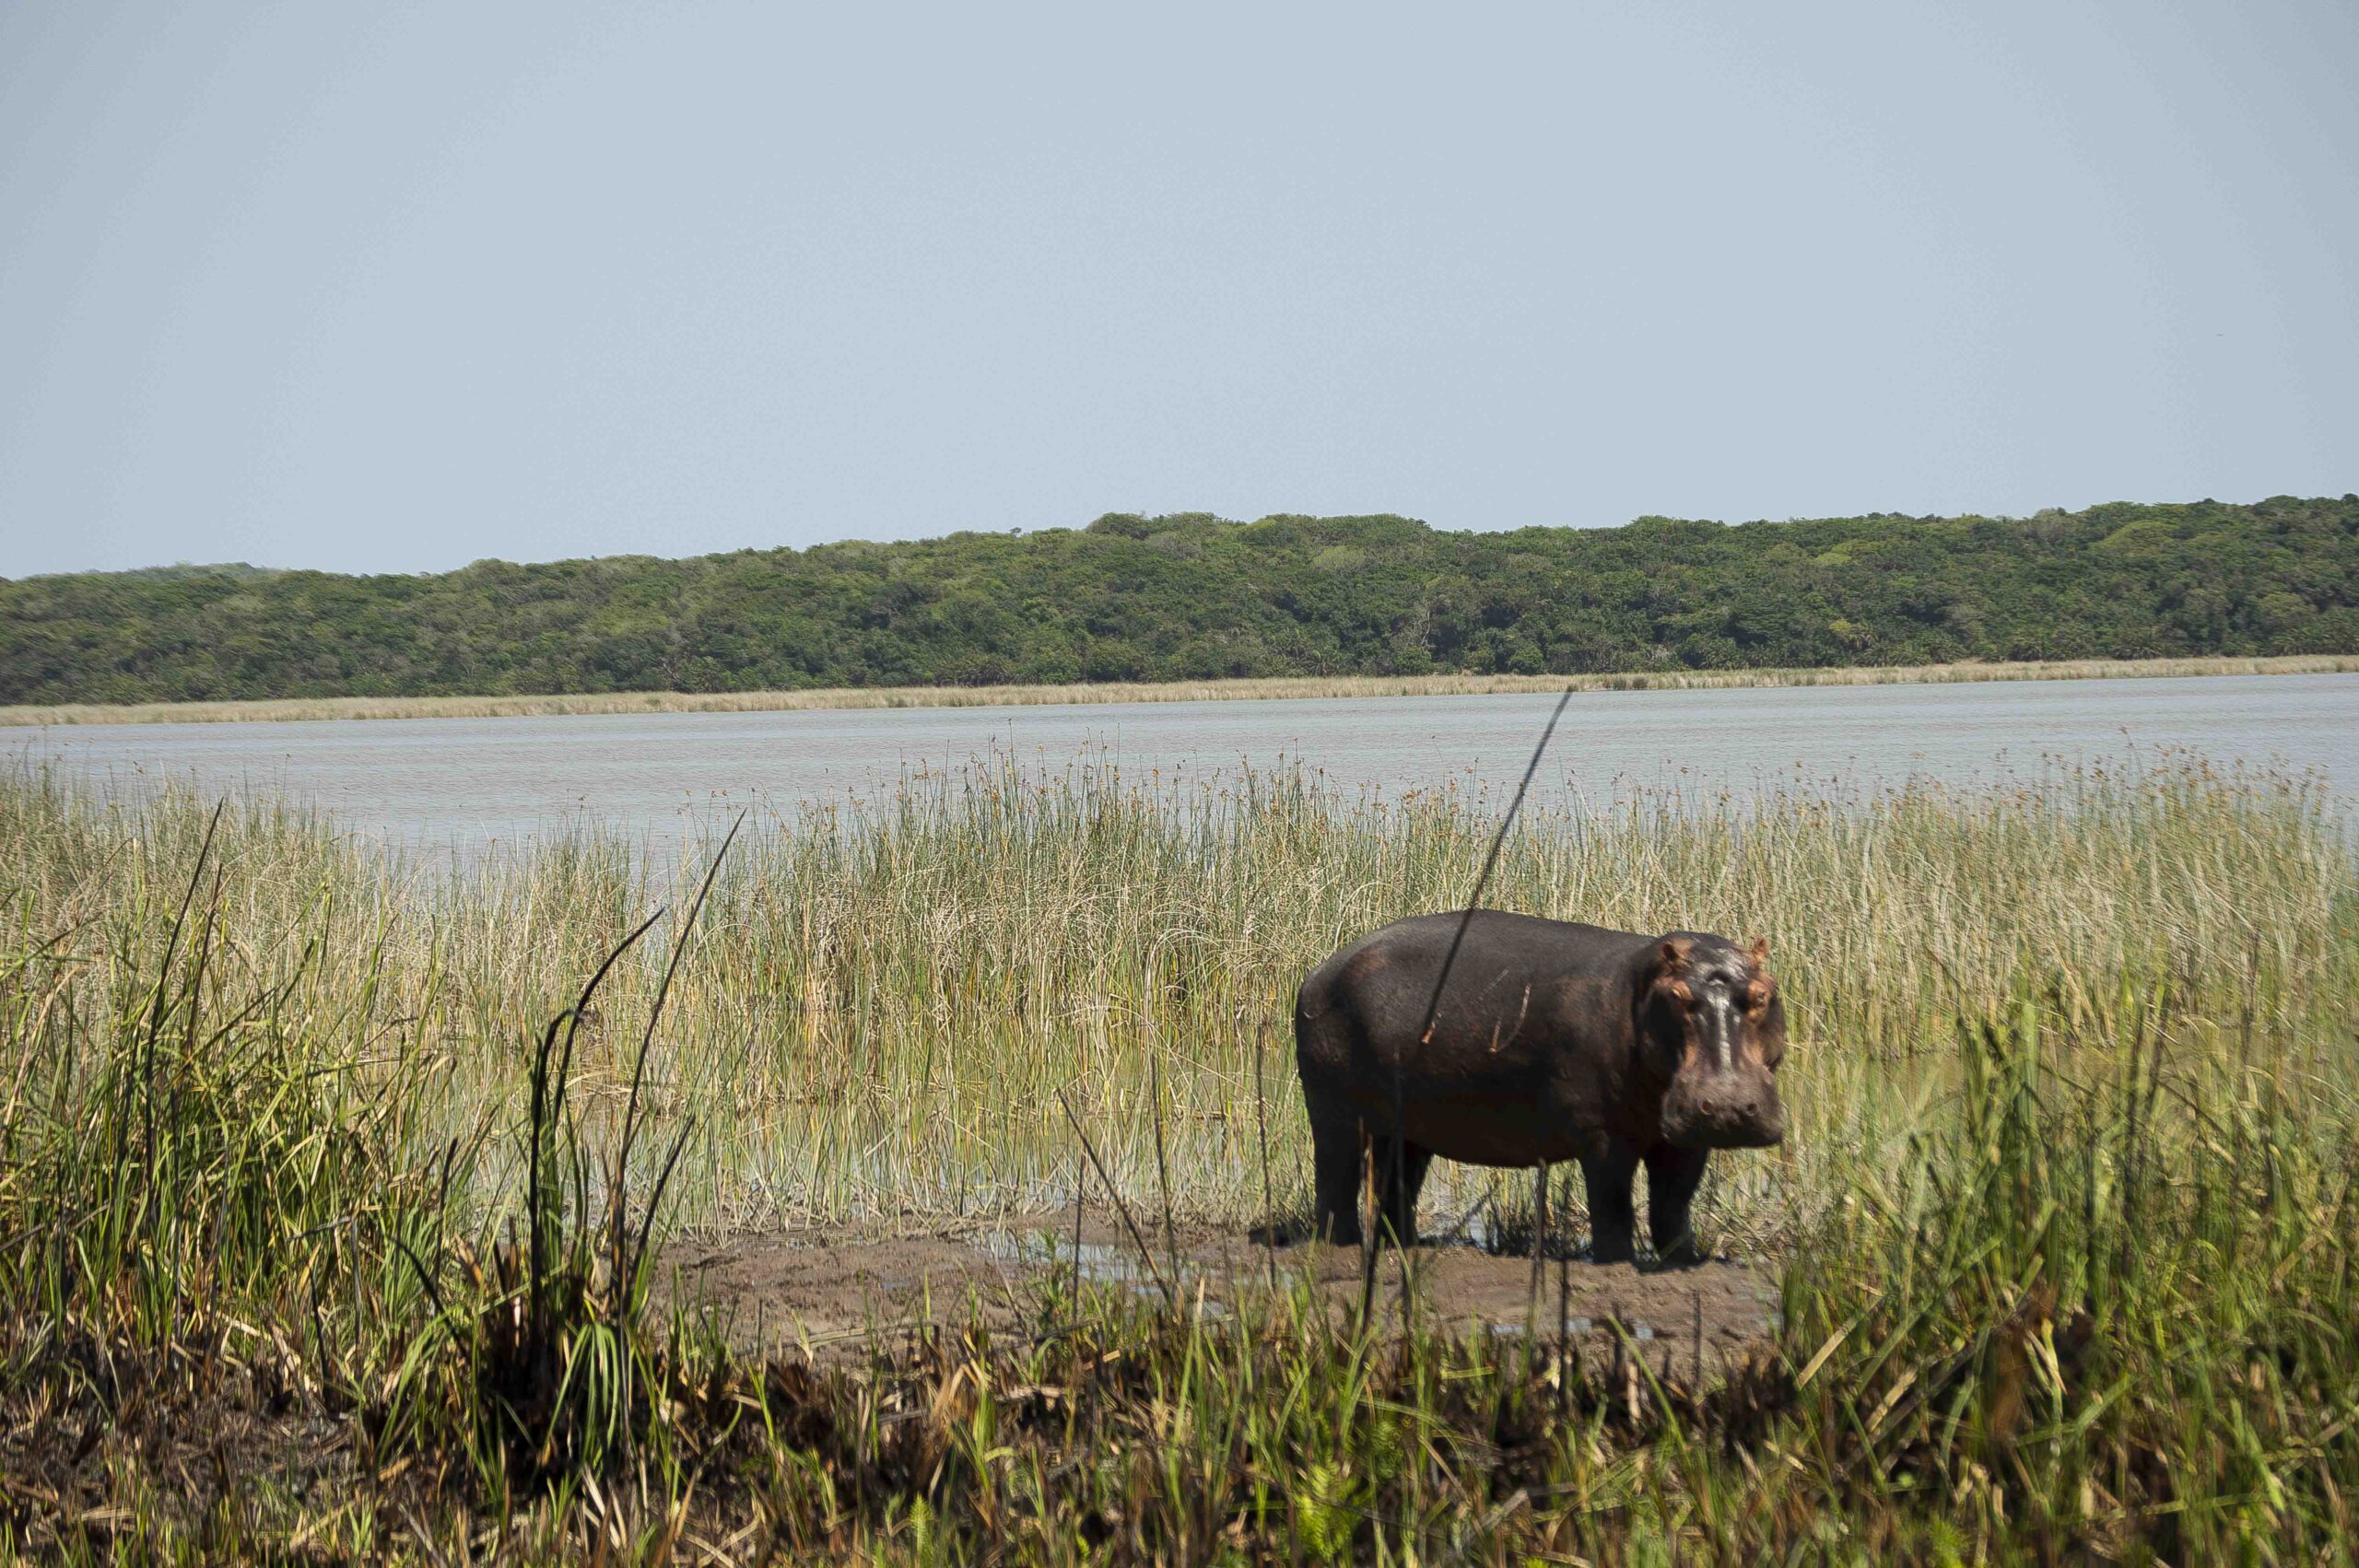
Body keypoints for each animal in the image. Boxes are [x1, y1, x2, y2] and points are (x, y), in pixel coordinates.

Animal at [1292, 909, 1783, 1263]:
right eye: (1678, 997)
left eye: (1763, 994)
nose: (1728, 1104)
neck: (1638, 988)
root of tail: (1320, 969)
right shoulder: (1602, 1136)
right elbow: (1613, 1205)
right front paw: (1617, 1263)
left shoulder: (1685, 1138)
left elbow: (1673, 1206)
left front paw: (1683, 1262)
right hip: (1334, 1113)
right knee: (1335, 1179)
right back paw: (1339, 1247)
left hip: (1406, 1128)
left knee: (1395, 1186)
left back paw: (1405, 1246)